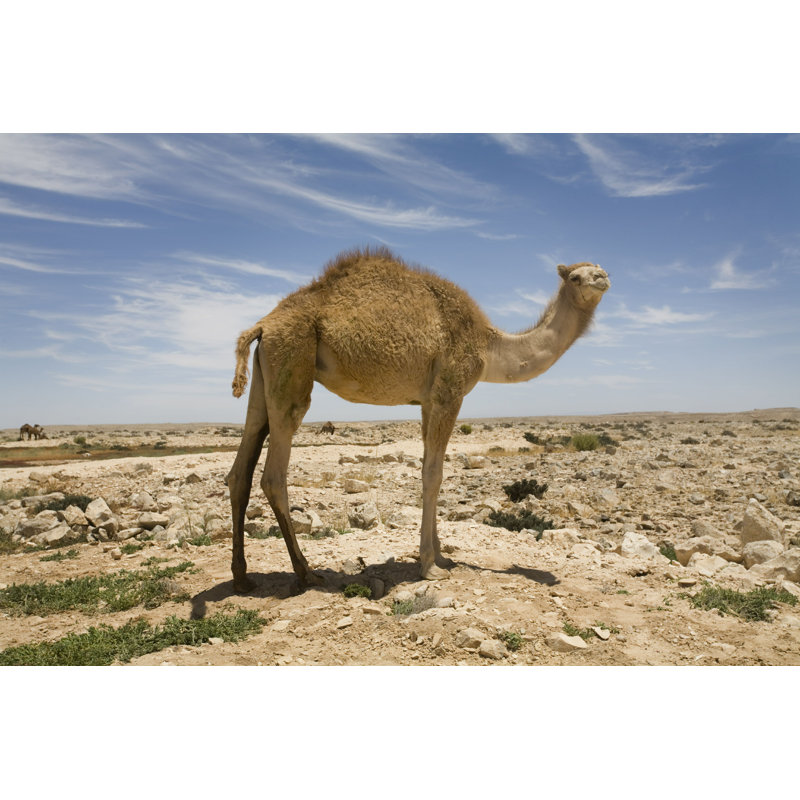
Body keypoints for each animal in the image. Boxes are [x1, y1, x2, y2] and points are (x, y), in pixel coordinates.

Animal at [226, 246, 609, 592]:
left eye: (598, 268)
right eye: (575, 277)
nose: (603, 278)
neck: (489, 346)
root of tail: (263, 324)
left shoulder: (427, 401)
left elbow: (430, 466)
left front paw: (441, 556)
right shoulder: (449, 392)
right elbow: (433, 475)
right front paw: (429, 566)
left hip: (266, 373)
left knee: (241, 468)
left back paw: (243, 578)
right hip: (293, 363)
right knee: (273, 475)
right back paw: (305, 573)